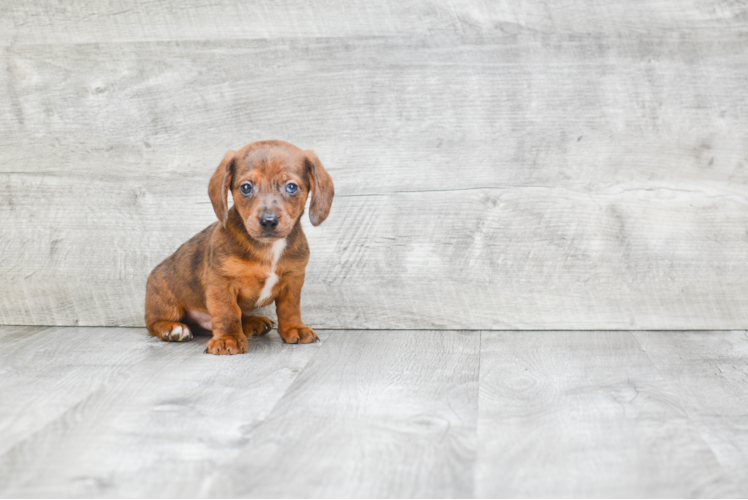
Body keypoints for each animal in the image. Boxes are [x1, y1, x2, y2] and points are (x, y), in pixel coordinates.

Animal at [146, 139, 334, 354]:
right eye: (246, 187)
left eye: (291, 187)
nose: (268, 221)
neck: (268, 248)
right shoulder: (222, 282)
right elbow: (228, 312)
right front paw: (228, 339)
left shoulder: (293, 280)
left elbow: (290, 308)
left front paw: (294, 328)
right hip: (165, 301)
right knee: (154, 323)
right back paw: (173, 328)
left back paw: (252, 321)